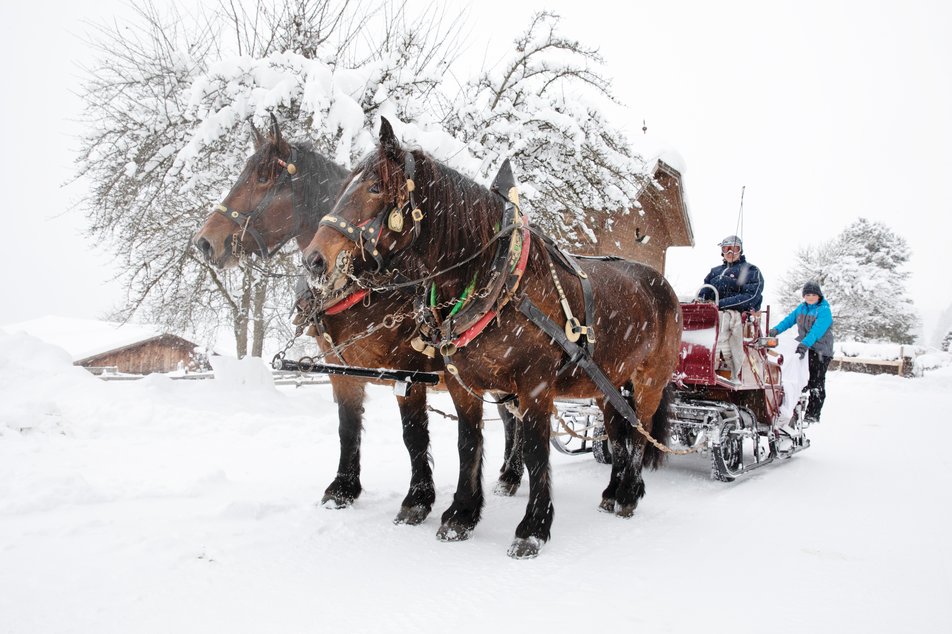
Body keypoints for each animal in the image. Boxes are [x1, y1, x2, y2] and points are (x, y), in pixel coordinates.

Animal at [190, 118, 524, 524]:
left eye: (263, 177)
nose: (205, 242)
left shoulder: (407, 370)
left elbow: (413, 434)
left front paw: (417, 500)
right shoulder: (339, 368)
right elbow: (347, 426)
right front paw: (343, 489)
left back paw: (511, 475)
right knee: (509, 416)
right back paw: (508, 474)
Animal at [304, 117, 684, 552]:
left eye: (375, 187)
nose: (314, 260)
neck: (497, 279)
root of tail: (663, 284)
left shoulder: (533, 386)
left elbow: (535, 450)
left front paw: (533, 527)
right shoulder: (461, 382)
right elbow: (467, 442)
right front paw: (461, 515)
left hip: (649, 381)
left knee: (638, 433)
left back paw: (629, 493)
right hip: (605, 382)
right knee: (617, 432)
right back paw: (612, 491)